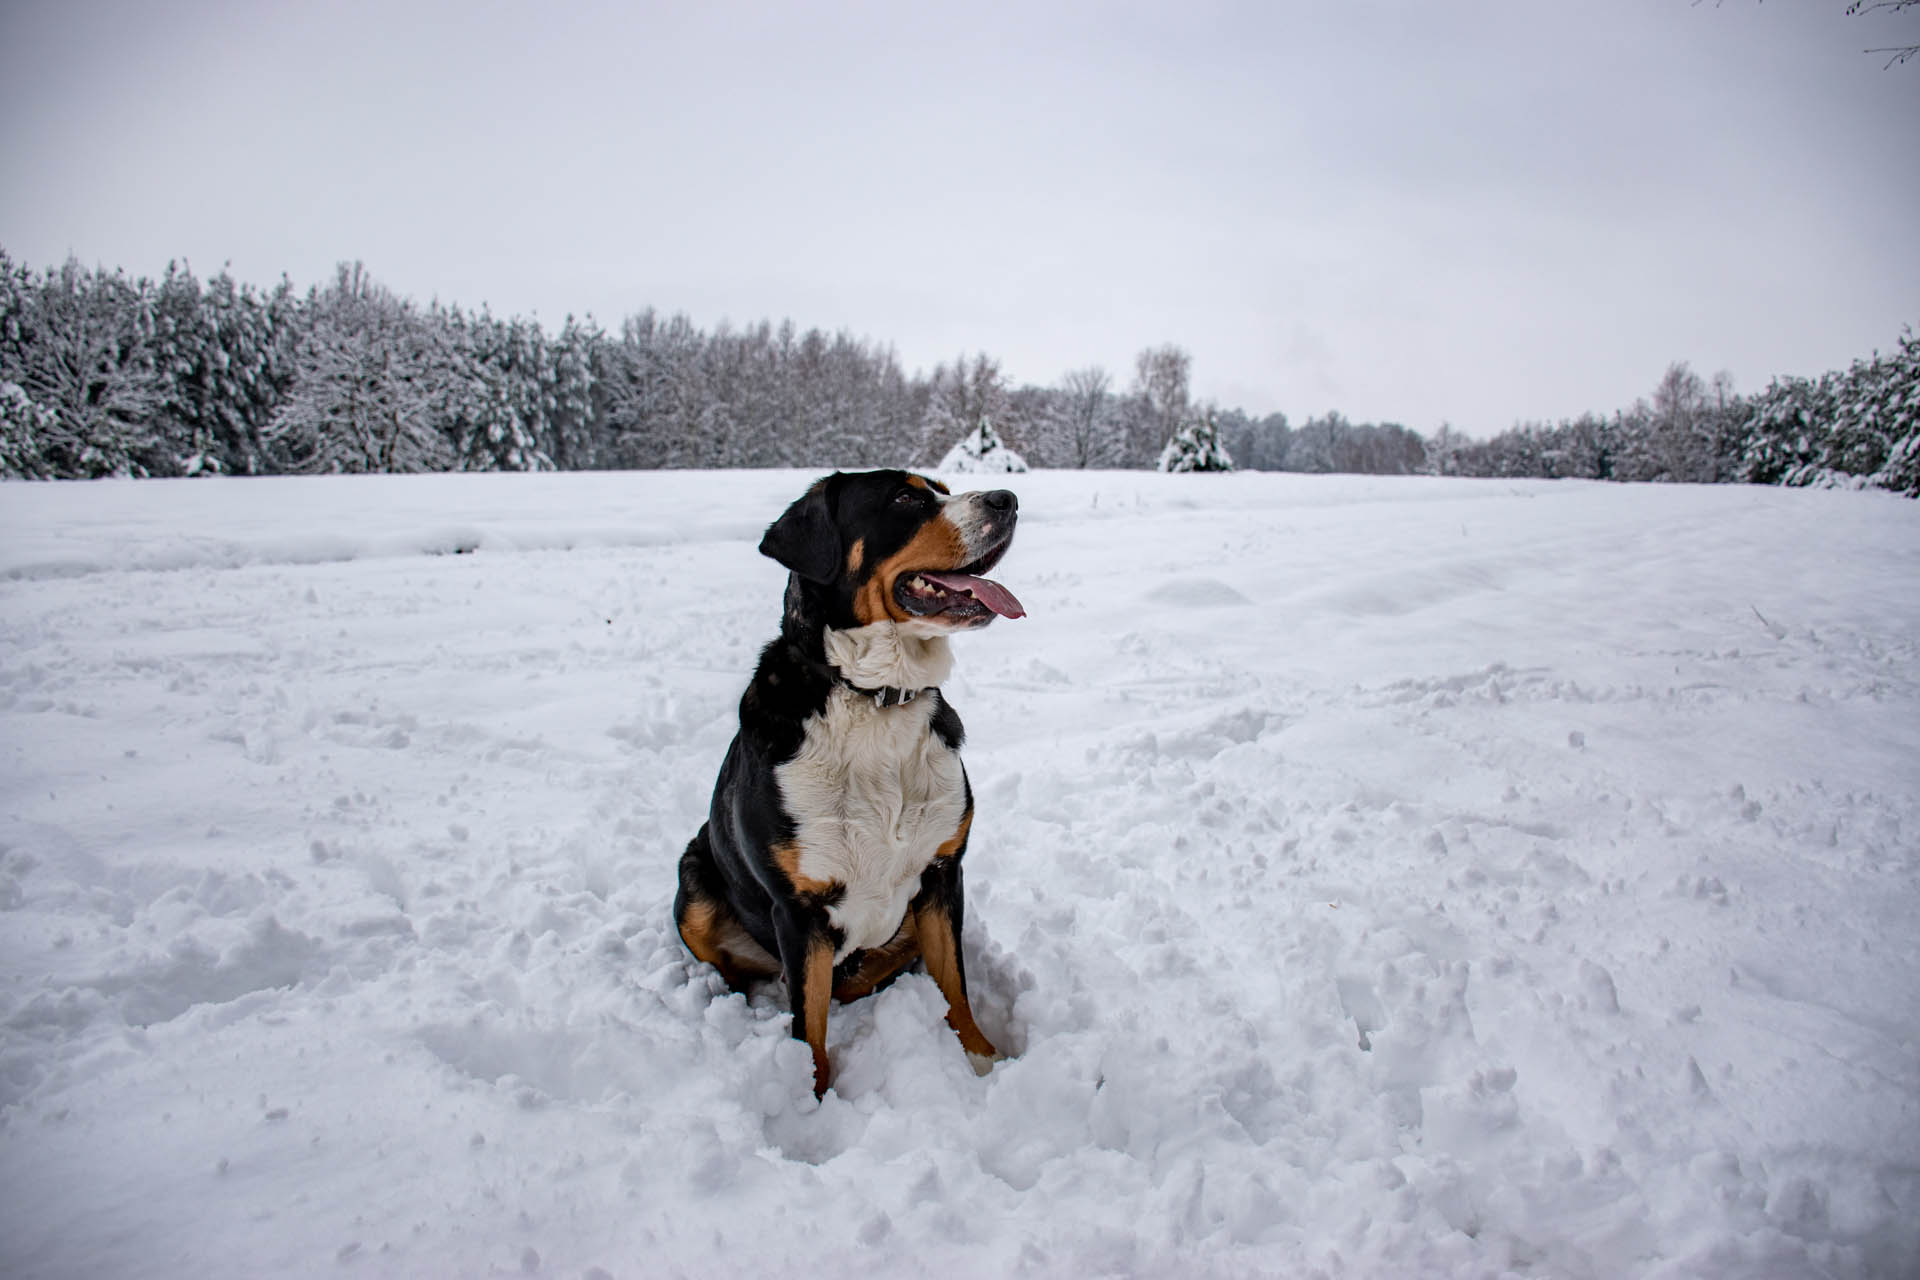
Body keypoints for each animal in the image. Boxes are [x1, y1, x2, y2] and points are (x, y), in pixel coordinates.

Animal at [683, 470, 1029, 1105]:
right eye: (905, 497)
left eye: (943, 488)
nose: (1007, 499)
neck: (874, 702)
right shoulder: (800, 910)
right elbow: (809, 1026)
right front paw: (812, 1101)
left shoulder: (943, 874)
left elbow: (955, 986)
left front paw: (982, 1061)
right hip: (692, 878)